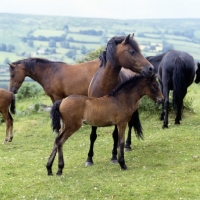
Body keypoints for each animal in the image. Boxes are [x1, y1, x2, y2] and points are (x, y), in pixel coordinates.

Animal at [85, 34, 154, 166]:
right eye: (132, 51)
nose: (150, 68)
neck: (104, 86)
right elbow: (93, 135)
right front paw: (89, 159)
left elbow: (115, 135)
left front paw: (114, 157)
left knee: (130, 125)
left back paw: (126, 145)